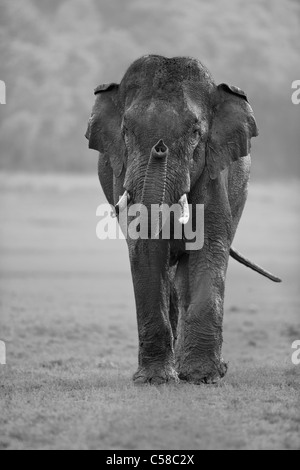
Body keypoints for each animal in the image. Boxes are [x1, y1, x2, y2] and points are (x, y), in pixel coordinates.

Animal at [85, 55, 282, 386]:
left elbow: (209, 243)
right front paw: (154, 380)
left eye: (194, 133)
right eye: (126, 132)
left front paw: (203, 377)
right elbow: (144, 247)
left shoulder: (215, 169)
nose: (159, 147)